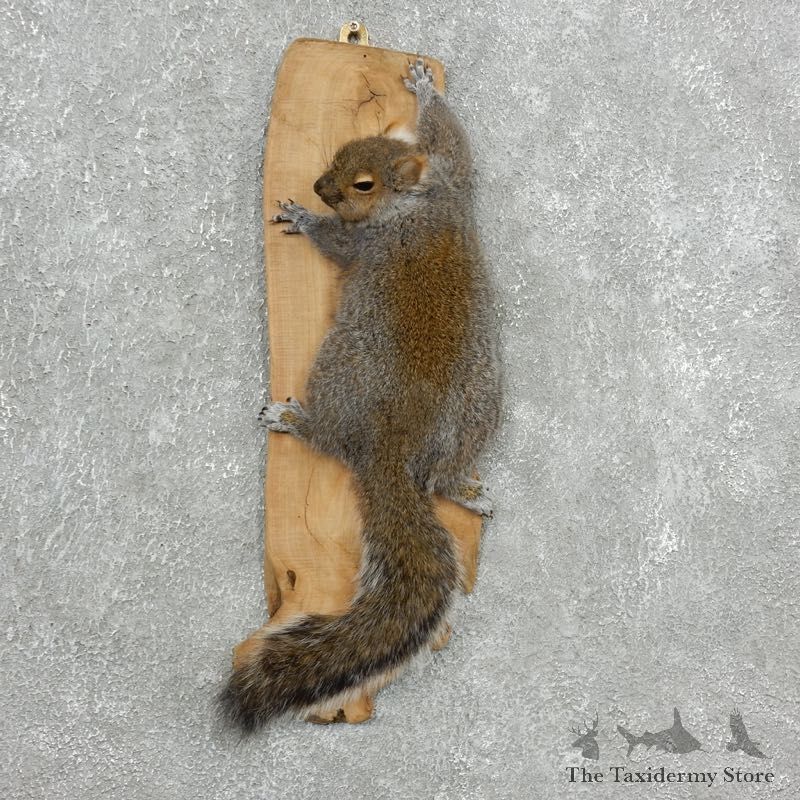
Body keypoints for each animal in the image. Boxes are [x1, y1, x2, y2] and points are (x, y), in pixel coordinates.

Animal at [219, 59, 502, 729]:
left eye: (364, 183)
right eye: (342, 152)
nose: (319, 186)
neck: (414, 202)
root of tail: (391, 449)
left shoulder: (372, 235)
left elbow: (337, 241)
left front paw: (303, 218)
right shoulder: (453, 176)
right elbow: (454, 138)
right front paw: (424, 87)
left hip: (339, 367)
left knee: (331, 435)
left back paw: (293, 420)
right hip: (481, 408)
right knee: (442, 479)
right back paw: (467, 491)